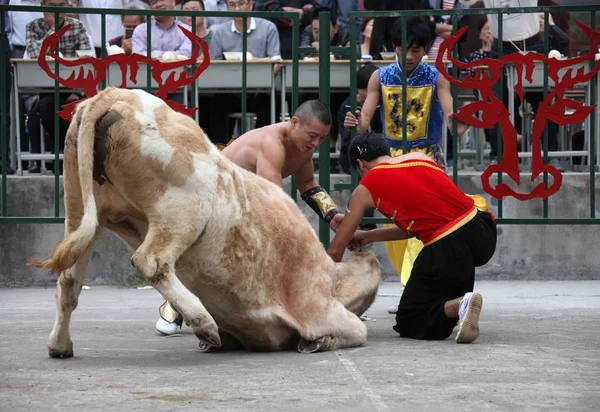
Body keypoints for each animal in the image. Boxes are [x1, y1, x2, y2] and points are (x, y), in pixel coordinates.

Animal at [30, 87, 380, 358]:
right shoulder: (316, 306)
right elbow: (356, 330)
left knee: (69, 280)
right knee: (150, 260)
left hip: (80, 207)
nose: (368, 252)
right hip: (184, 210)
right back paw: (203, 322)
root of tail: (112, 95)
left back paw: (60, 346)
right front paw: (319, 342)